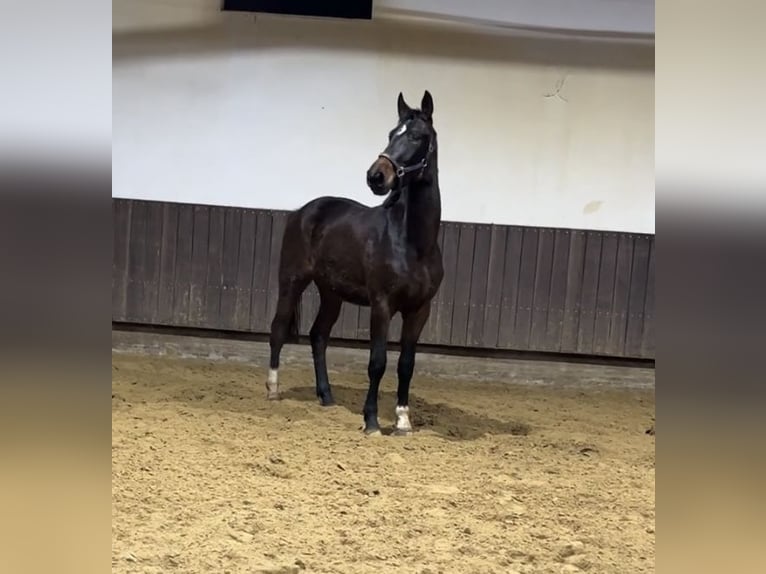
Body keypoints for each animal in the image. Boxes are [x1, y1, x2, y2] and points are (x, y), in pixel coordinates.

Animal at [268, 91, 444, 436]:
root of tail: (302, 211)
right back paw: (273, 389)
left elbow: (406, 364)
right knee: (278, 329)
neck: (413, 243)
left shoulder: (420, 310)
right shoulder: (382, 305)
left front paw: (403, 421)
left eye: (417, 136)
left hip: (331, 293)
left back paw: (326, 396)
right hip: (291, 281)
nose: (376, 176)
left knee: (318, 336)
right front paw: (372, 421)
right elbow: (377, 362)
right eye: (391, 134)